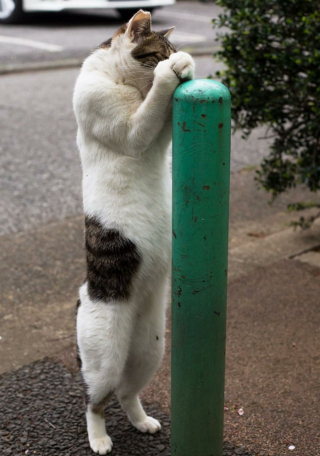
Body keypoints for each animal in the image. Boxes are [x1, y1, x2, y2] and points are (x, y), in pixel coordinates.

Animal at [73, 8, 195, 454]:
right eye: (160, 52)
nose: (175, 61)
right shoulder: (132, 131)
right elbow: (149, 108)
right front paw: (170, 72)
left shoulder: (161, 136)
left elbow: (161, 118)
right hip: (105, 356)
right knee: (95, 400)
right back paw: (99, 440)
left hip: (151, 350)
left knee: (127, 394)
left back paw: (143, 422)